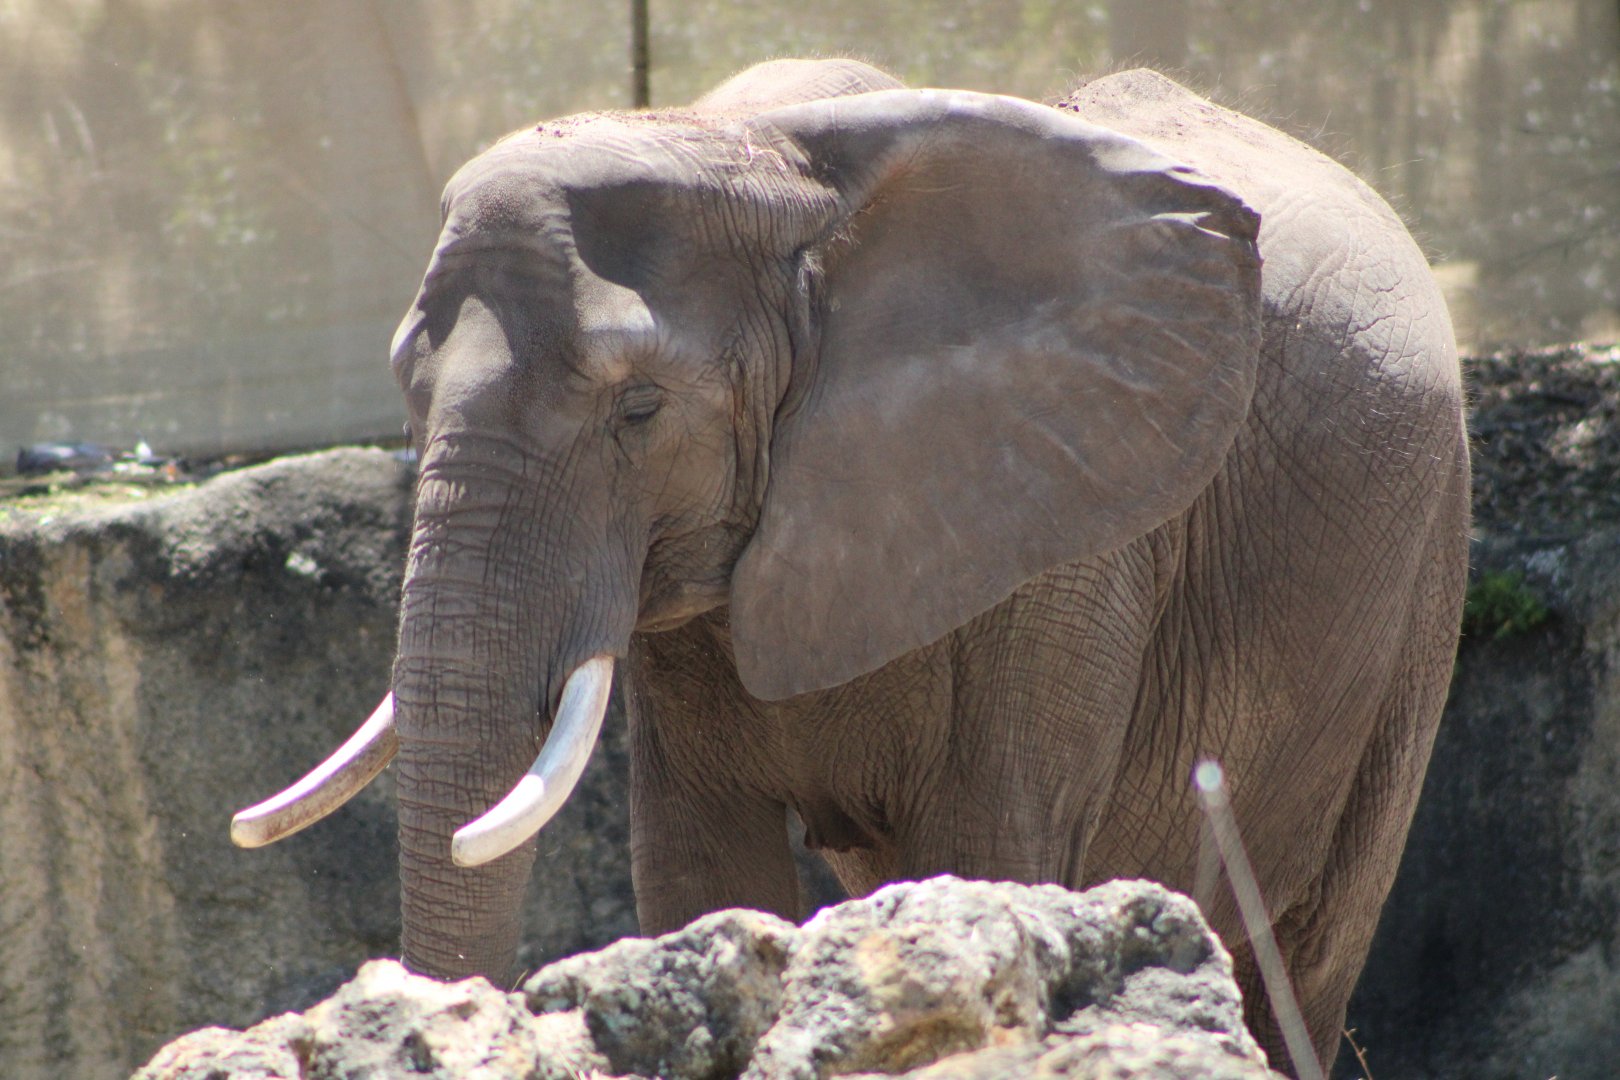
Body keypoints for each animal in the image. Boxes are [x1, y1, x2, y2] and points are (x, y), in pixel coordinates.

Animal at [231, 58, 1468, 1076]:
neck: (763, 159)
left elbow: (989, 849)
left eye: (640, 409)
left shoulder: (1072, 522)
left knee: (1304, 957)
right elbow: (698, 872)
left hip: (1424, 577)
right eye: (407, 391)